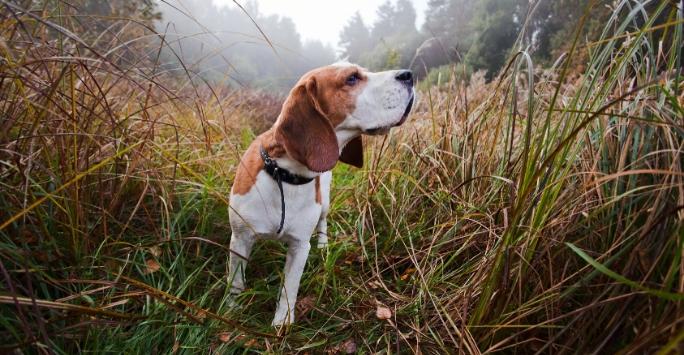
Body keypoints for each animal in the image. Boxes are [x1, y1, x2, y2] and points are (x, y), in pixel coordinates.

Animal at [227, 62, 414, 326]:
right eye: (352, 78)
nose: (409, 75)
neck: (285, 174)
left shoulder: (300, 246)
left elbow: (290, 287)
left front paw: (282, 323)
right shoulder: (240, 238)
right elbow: (235, 280)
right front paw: (231, 310)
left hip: (324, 202)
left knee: (323, 221)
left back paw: (324, 246)